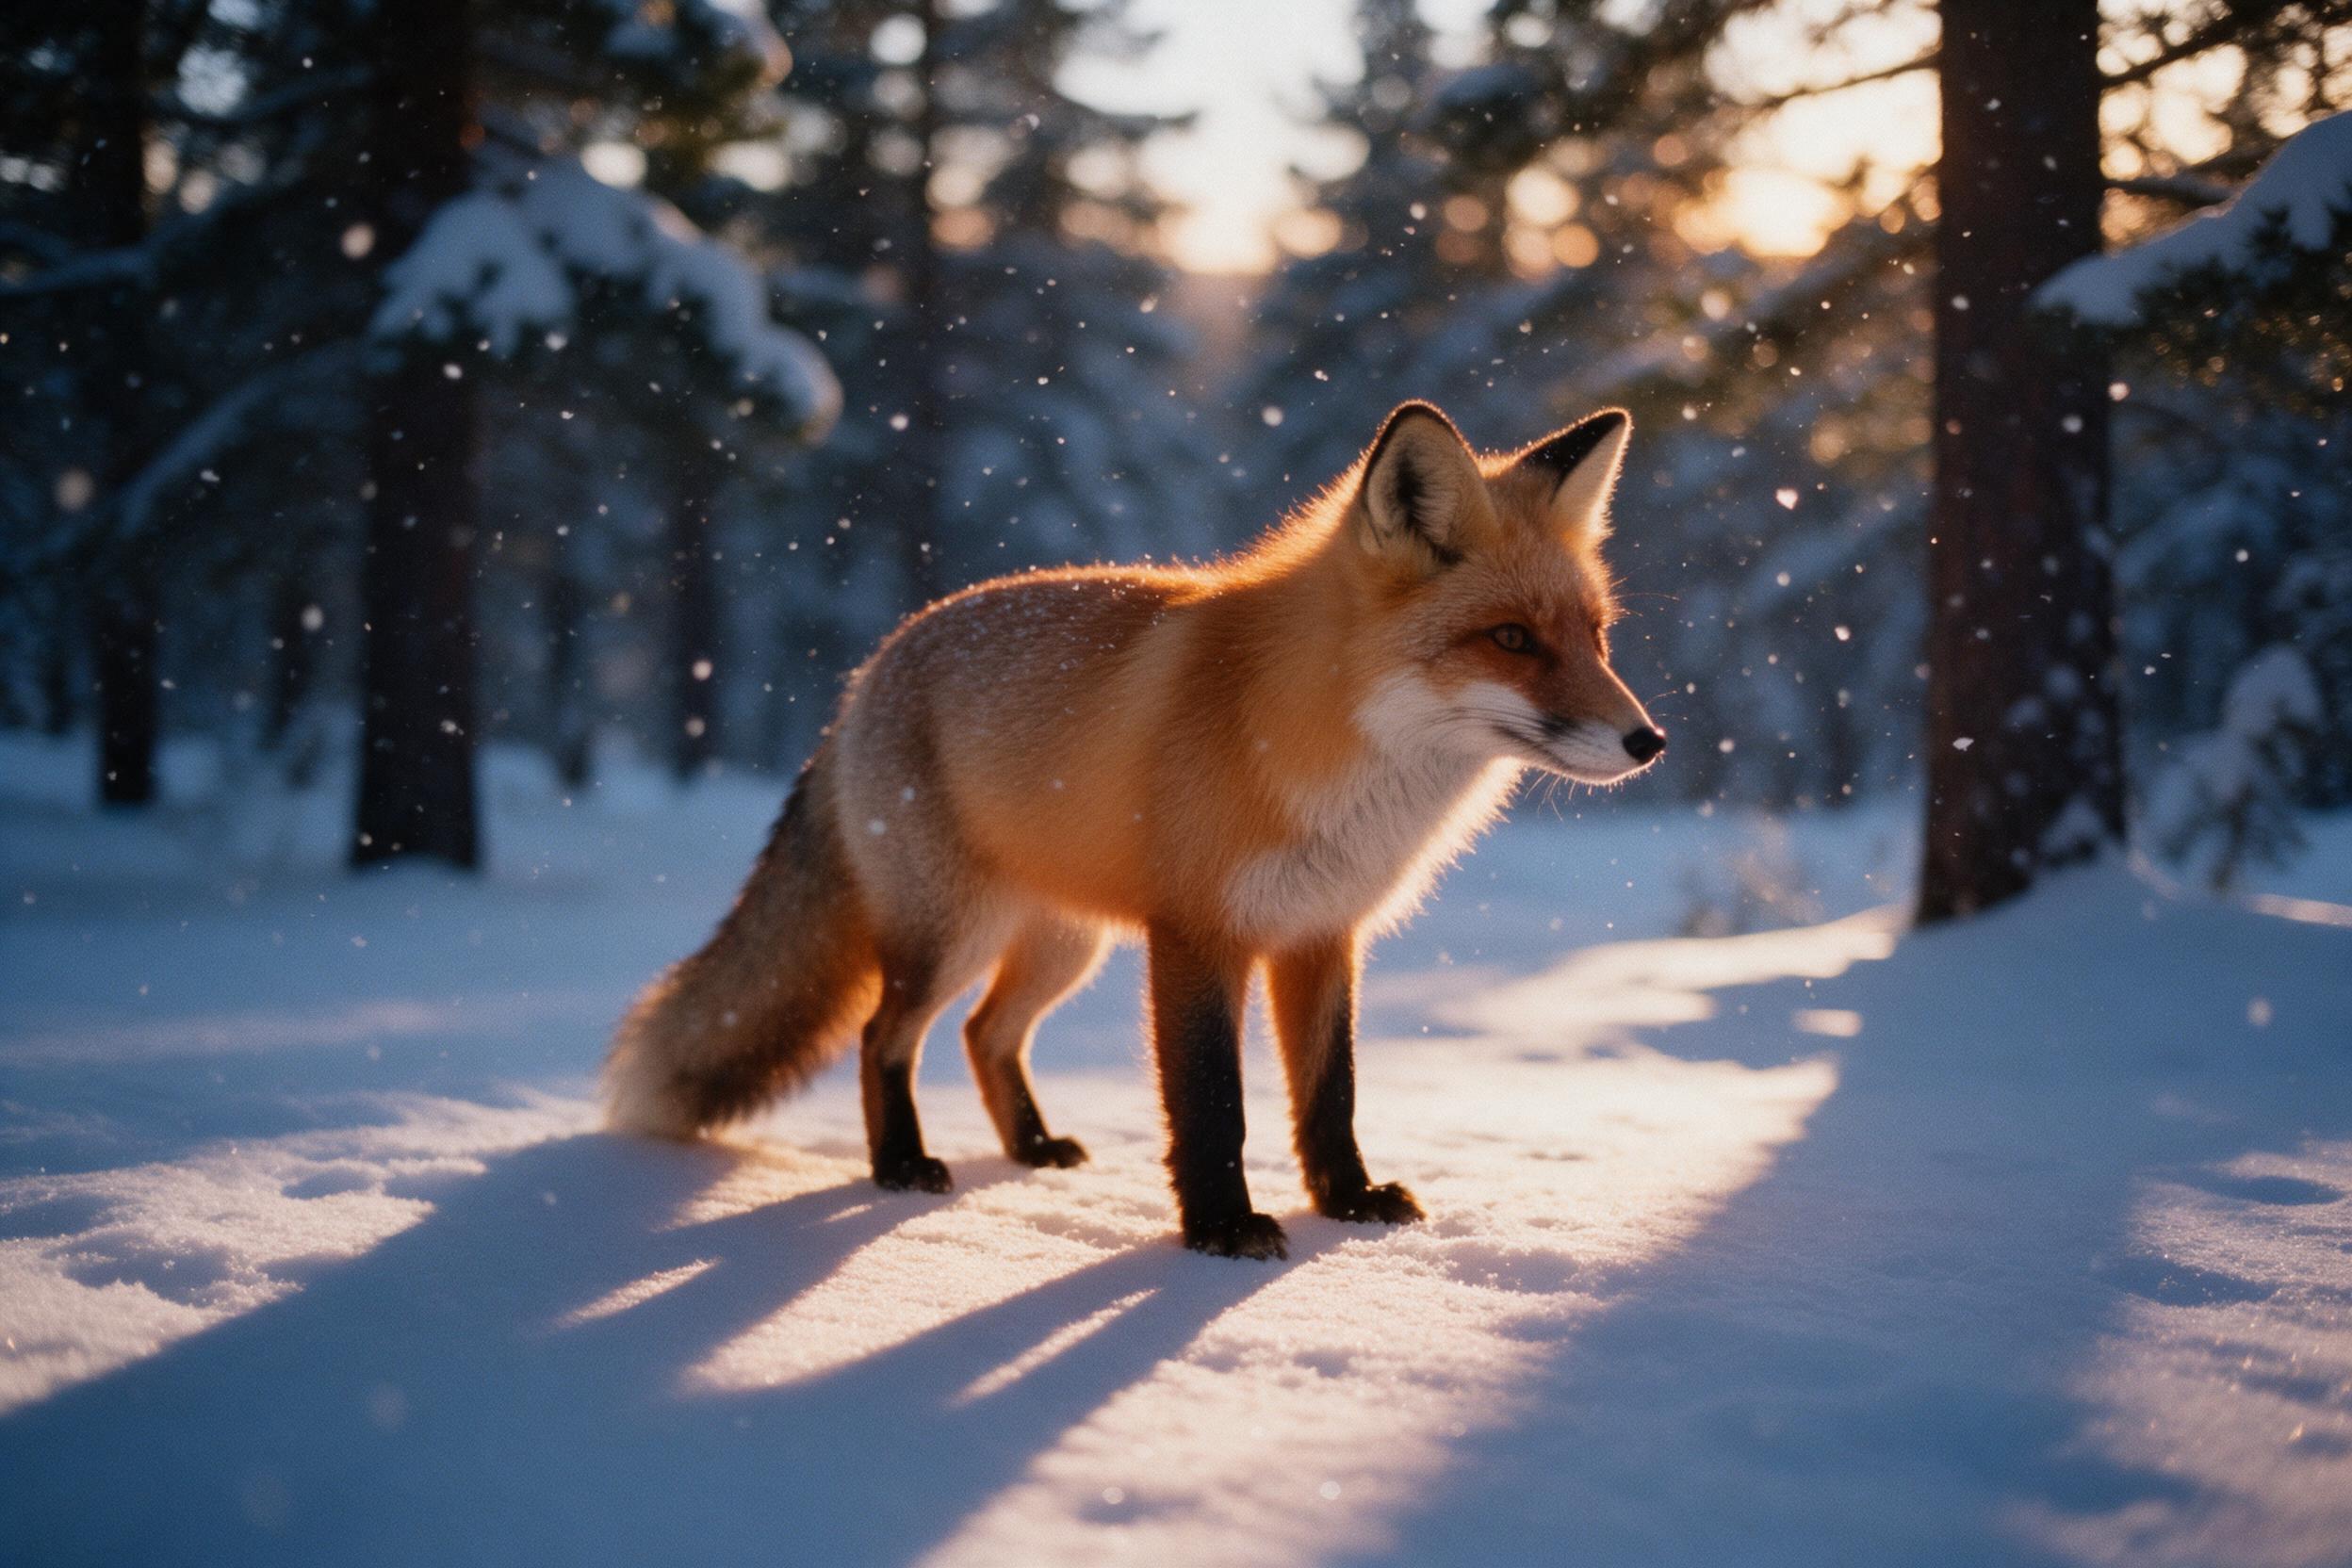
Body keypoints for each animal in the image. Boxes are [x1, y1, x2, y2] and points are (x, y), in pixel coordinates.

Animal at [605, 400, 1666, 1259]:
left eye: (1596, 636)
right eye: (1512, 639)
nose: (1648, 740)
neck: (1322, 747)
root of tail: (865, 674)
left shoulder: (1323, 934)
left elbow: (1331, 1095)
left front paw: (1349, 1204)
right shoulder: (1199, 935)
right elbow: (1212, 1103)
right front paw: (1221, 1230)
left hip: (1063, 944)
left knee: (986, 1035)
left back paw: (1032, 1147)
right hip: (952, 935)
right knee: (882, 1037)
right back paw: (902, 1165)